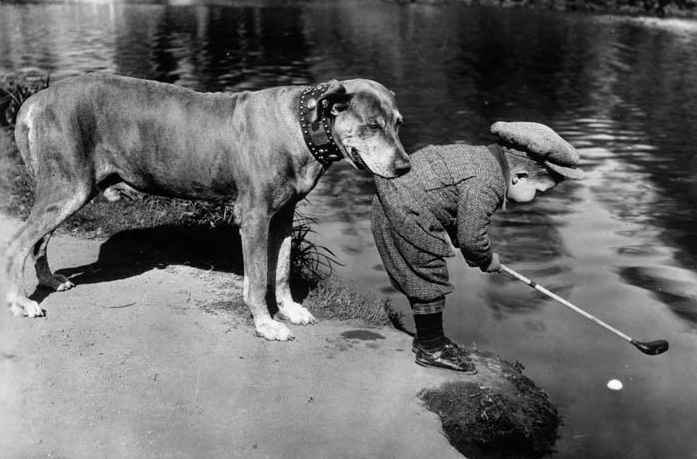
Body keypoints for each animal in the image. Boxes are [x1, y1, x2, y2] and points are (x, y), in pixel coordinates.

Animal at [4, 73, 408, 342]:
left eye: (398, 124)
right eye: (372, 125)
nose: (405, 167)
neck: (301, 125)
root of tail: (38, 98)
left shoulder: (283, 216)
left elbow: (280, 270)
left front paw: (290, 310)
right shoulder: (255, 218)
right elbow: (258, 277)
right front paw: (266, 323)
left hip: (72, 190)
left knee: (39, 241)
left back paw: (49, 280)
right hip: (68, 188)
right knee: (18, 243)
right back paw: (21, 302)